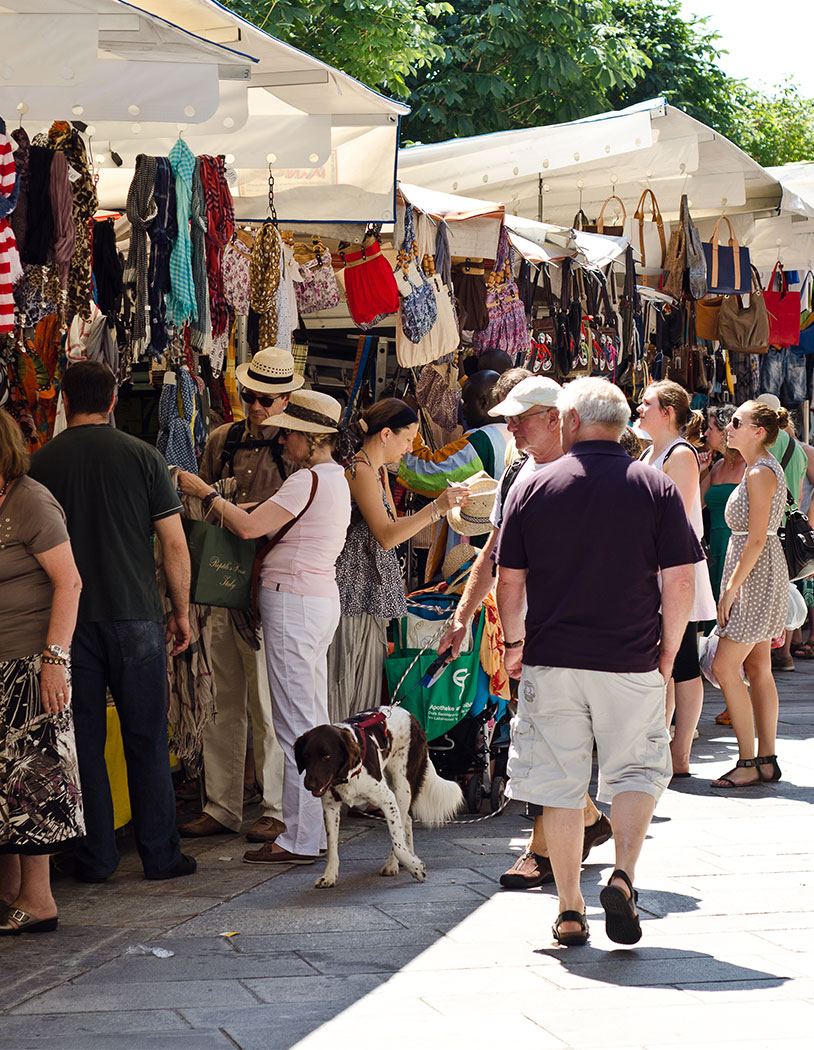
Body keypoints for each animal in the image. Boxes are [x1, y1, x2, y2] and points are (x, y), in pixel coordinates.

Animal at [294, 705, 462, 886]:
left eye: (326, 756)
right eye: (306, 756)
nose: (309, 785)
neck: (346, 775)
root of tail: (411, 716)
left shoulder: (387, 799)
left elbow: (397, 842)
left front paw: (415, 868)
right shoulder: (330, 807)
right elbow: (332, 846)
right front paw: (329, 876)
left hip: (402, 786)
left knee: (404, 822)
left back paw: (395, 864)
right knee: (407, 821)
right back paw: (408, 856)